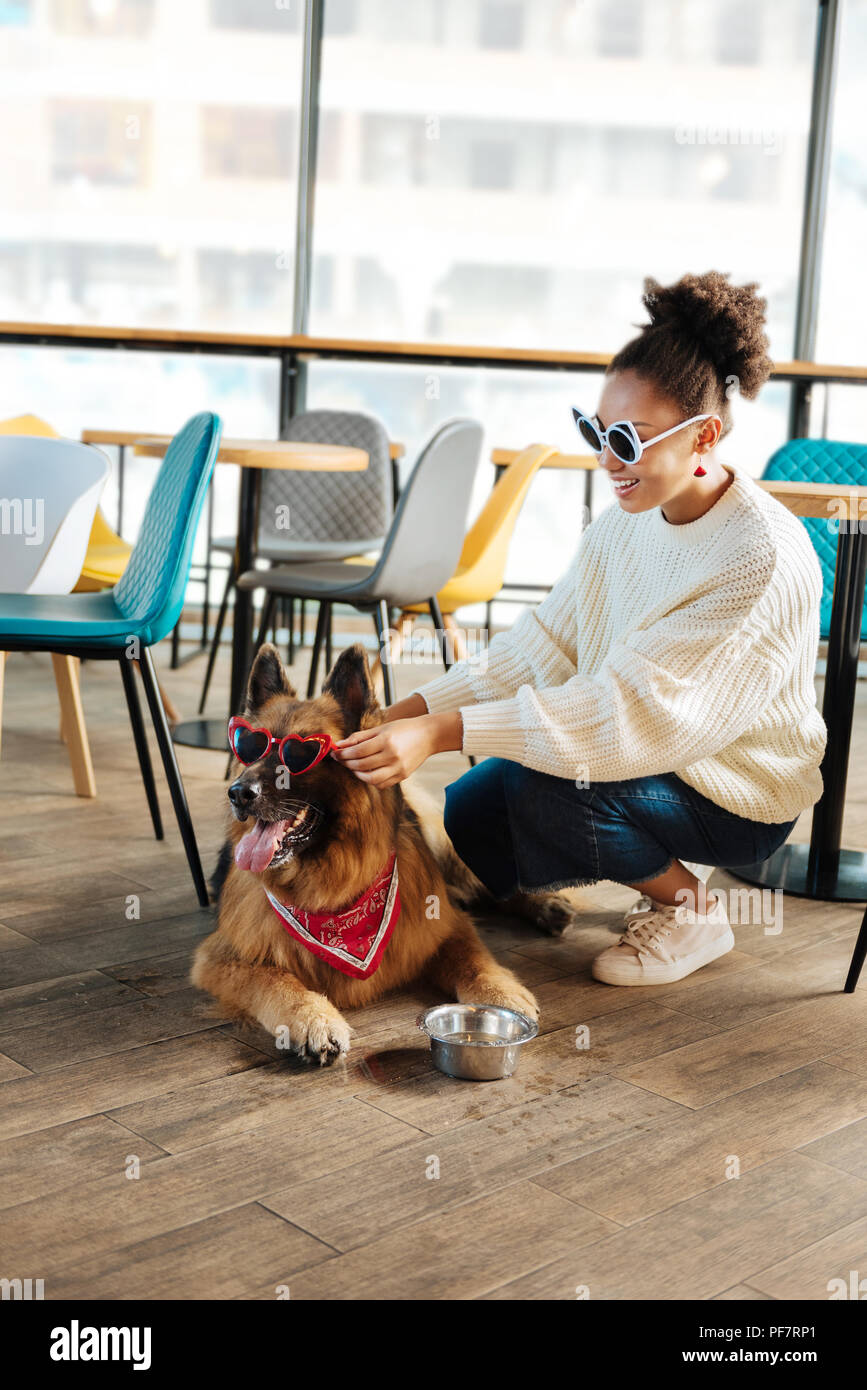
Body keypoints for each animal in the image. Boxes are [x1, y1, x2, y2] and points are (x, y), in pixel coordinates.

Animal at [193, 642, 539, 1061]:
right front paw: (312, 1018)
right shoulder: (222, 957)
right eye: (249, 747)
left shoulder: (445, 925)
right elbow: (274, 980)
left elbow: (474, 959)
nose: (239, 794)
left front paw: (499, 994)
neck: (331, 885)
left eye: (300, 754)